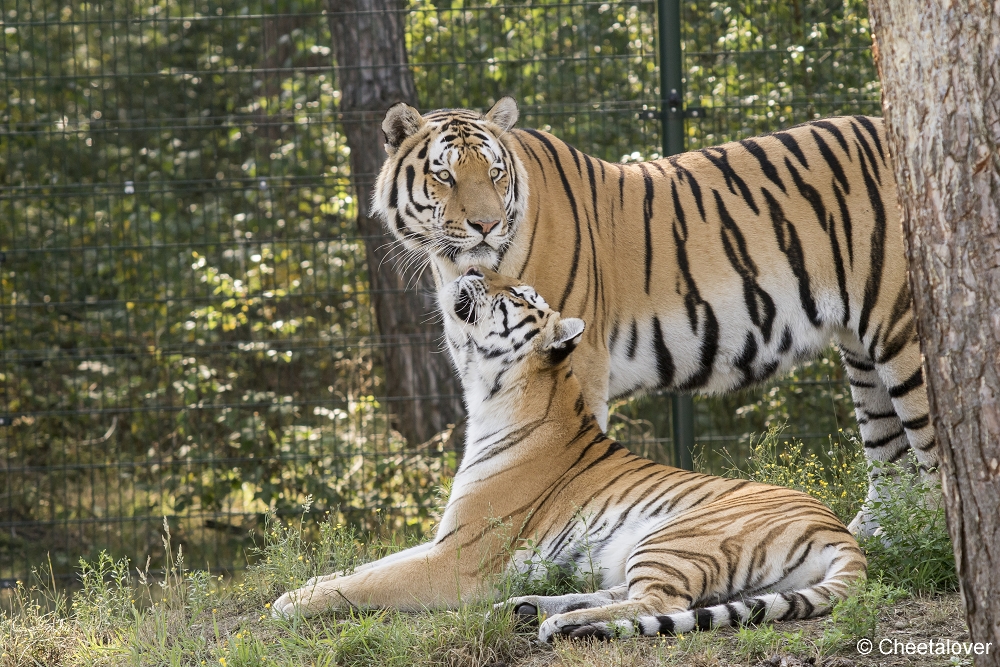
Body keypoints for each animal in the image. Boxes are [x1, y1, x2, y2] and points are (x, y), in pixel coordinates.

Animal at [272, 268, 868, 640]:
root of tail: (839, 529)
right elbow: (366, 566)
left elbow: (370, 581)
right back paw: (529, 609)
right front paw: (303, 588)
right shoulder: (445, 540)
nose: (472, 267)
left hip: (675, 535)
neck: (489, 396)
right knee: (633, 594)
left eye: (517, 294)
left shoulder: (457, 559)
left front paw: (289, 605)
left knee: (663, 605)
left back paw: (558, 624)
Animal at [374, 95, 936, 536]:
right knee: (887, 449)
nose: (487, 225)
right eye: (444, 175)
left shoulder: (577, 362)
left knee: (931, 449)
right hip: (861, 349)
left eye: (494, 172)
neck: (453, 266)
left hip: (902, 329)